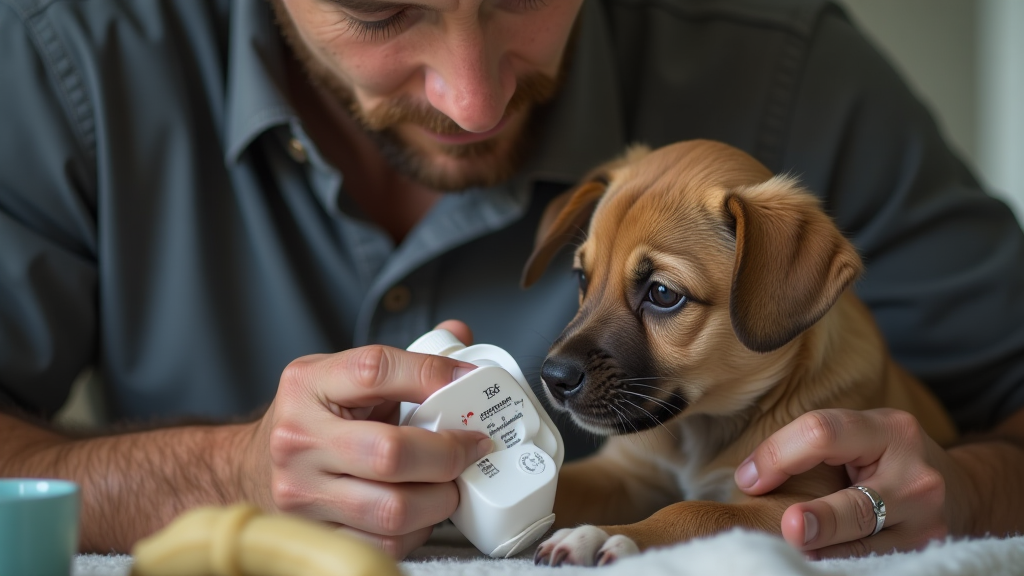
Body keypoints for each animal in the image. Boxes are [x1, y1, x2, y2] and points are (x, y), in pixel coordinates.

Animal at [524, 140, 954, 565]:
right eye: (582, 277)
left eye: (663, 293)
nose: (554, 377)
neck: (701, 430)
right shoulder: (627, 475)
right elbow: (565, 481)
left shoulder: (794, 503)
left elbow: (692, 511)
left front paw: (603, 535)